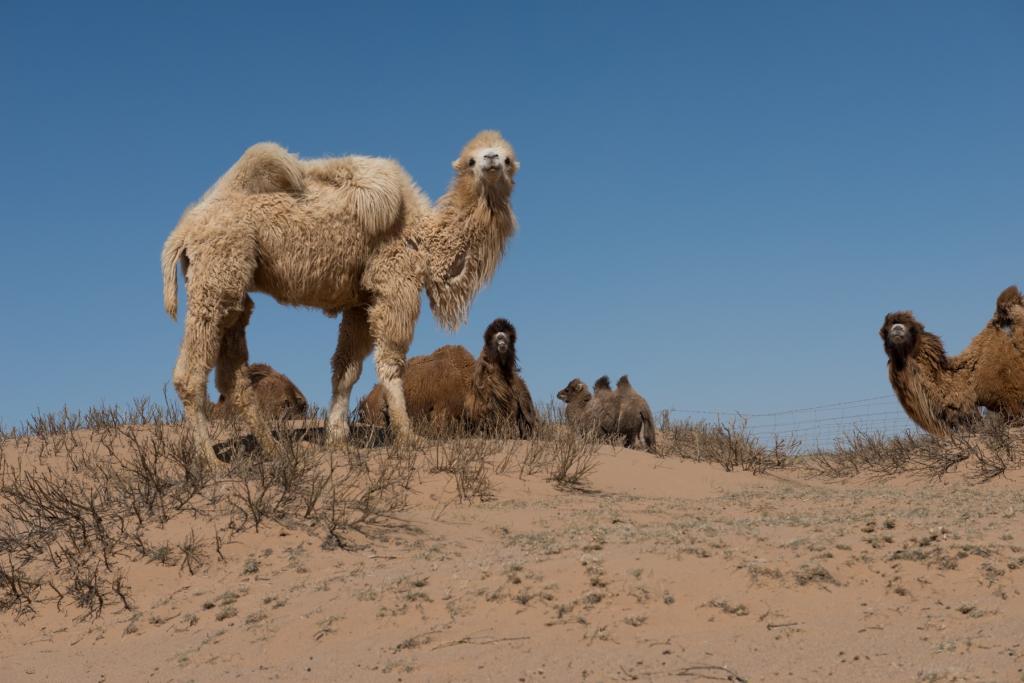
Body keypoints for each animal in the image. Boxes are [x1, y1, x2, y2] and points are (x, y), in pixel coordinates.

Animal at [164, 132, 524, 464]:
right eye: (471, 161)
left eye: (507, 159)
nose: (491, 160)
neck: (424, 240)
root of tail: (183, 231)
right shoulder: (394, 283)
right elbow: (390, 364)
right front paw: (409, 437)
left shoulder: (359, 302)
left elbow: (346, 367)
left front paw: (337, 438)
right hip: (215, 279)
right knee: (189, 375)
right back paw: (211, 461)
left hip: (231, 288)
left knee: (233, 373)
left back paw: (272, 449)